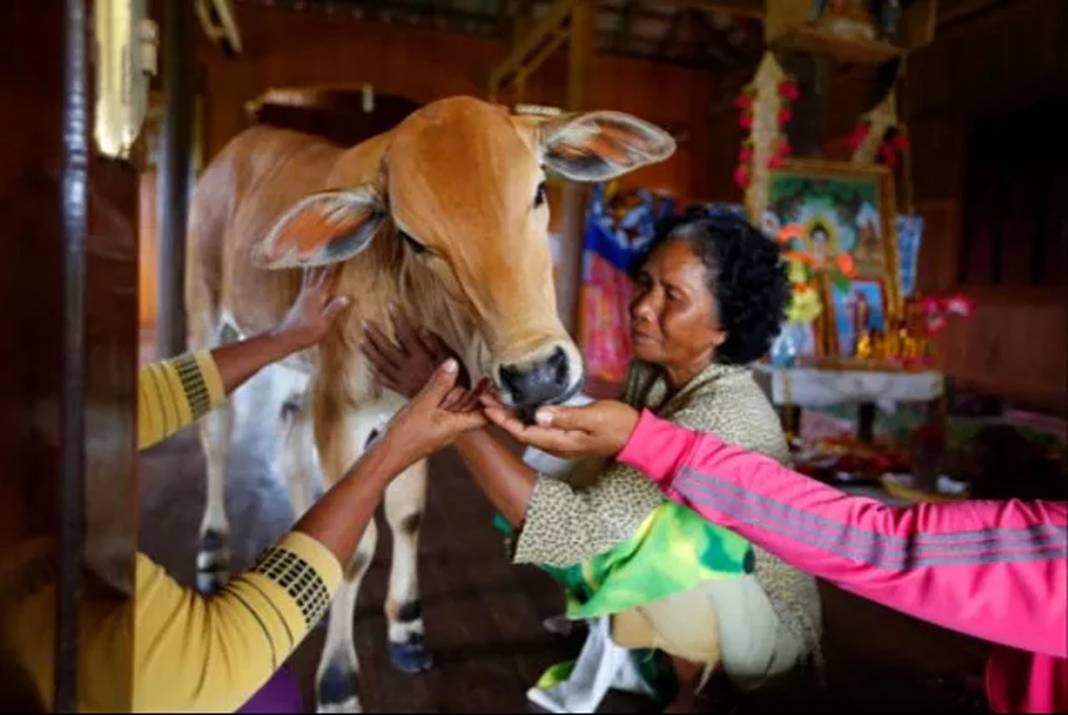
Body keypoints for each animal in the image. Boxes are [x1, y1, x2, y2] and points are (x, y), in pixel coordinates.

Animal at [180, 94, 670, 709]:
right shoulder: (342, 410)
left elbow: (407, 514)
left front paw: (407, 626)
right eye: (414, 239)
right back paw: (211, 550)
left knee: (290, 444)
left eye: (538, 191)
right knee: (217, 431)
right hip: (207, 312)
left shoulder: (409, 408)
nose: (536, 374)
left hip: (299, 372)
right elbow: (357, 545)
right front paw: (337, 680)